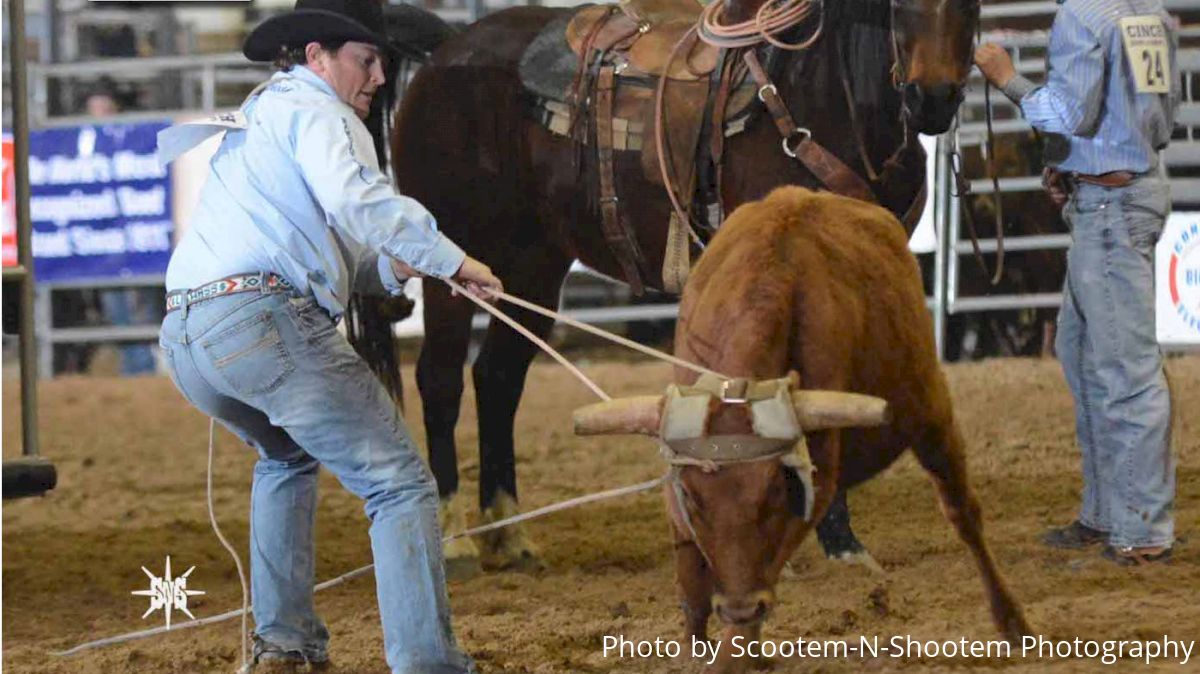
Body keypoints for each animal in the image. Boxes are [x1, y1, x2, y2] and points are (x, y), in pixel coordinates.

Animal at [388, 0, 979, 570]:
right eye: (898, 6)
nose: (932, 98)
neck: (819, 99)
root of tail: (447, 52)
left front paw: (836, 538)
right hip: (448, 260)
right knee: (441, 380)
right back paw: (456, 538)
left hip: (533, 266)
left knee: (498, 379)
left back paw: (509, 534)